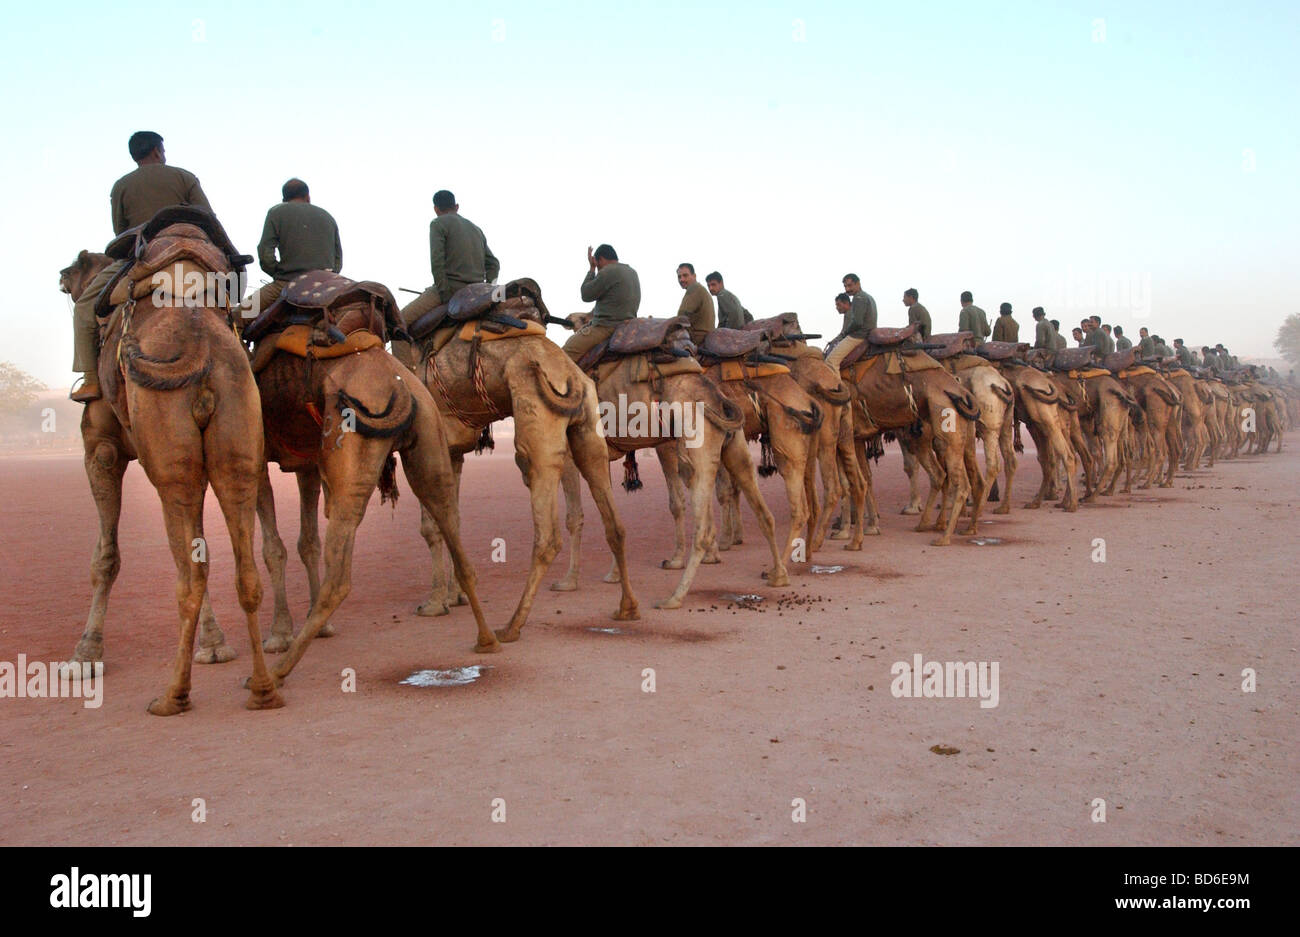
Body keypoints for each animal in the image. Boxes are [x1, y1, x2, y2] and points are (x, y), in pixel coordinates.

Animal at [59, 235, 282, 717]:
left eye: (74, 272)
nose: (61, 277)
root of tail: (199, 342)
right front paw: (214, 644)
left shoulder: (100, 448)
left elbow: (105, 556)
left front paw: (84, 656)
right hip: (236, 436)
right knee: (241, 567)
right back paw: (262, 689)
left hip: (168, 459)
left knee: (189, 572)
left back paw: (173, 695)